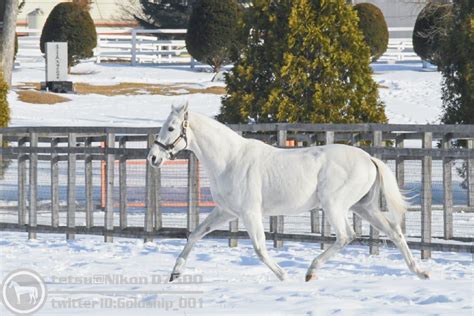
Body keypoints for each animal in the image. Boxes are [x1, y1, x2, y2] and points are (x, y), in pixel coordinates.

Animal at [148, 105, 430, 282]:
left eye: (171, 128)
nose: (153, 158)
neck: (230, 159)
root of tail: (369, 158)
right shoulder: (226, 212)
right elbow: (195, 234)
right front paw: (175, 274)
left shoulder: (250, 213)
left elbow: (260, 248)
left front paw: (283, 276)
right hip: (364, 207)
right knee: (394, 232)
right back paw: (420, 272)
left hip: (334, 205)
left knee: (346, 235)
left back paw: (310, 271)